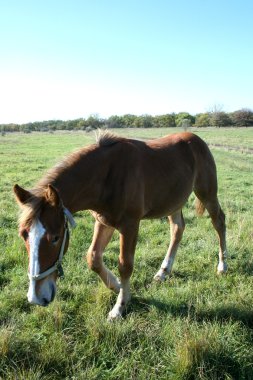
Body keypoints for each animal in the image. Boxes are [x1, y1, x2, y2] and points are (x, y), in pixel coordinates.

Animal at [13, 132, 227, 320]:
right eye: (24, 235)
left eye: (55, 237)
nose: (36, 297)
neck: (107, 176)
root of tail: (197, 140)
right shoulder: (103, 221)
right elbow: (93, 257)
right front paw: (117, 287)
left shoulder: (129, 225)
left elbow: (125, 264)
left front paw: (119, 307)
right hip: (174, 201)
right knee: (177, 229)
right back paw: (163, 272)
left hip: (207, 192)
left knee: (219, 222)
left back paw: (222, 266)